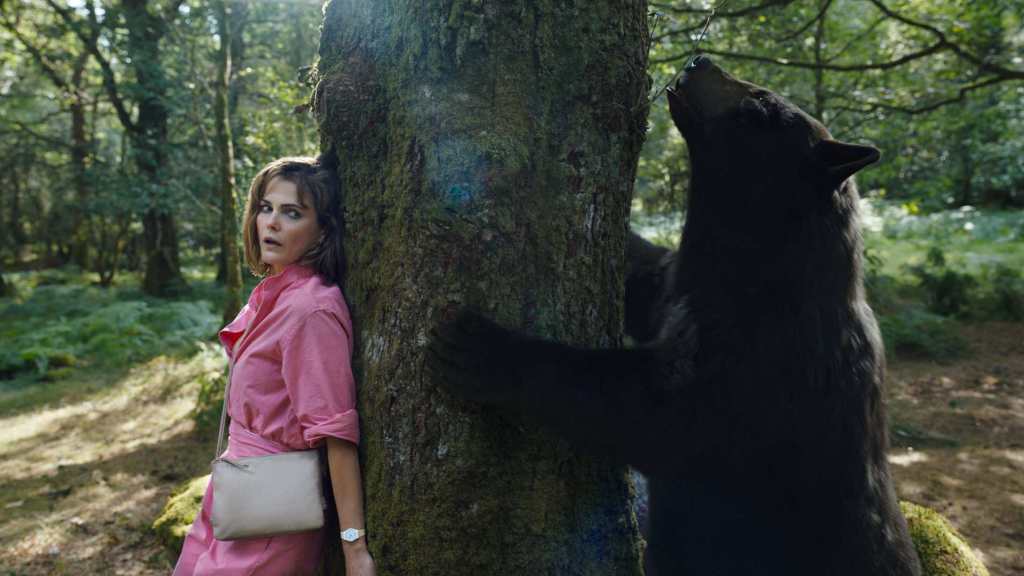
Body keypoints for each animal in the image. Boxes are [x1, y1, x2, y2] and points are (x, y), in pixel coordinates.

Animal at [426, 55, 921, 576]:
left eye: (759, 105)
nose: (701, 59)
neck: (754, 269)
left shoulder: (766, 368)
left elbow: (655, 414)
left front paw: (482, 349)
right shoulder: (675, 287)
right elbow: (642, 275)